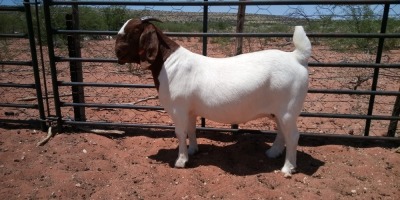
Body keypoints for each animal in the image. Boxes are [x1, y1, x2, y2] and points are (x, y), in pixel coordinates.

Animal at [114, 17, 310, 177]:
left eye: (132, 32)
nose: (117, 53)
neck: (168, 63)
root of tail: (296, 58)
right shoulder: (190, 110)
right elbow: (191, 129)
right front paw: (193, 151)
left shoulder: (178, 108)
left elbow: (180, 132)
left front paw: (181, 161)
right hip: (277, 111)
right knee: (282, 132)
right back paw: (273, 153)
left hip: (288, 109)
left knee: (293, 135)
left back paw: (287, 168)